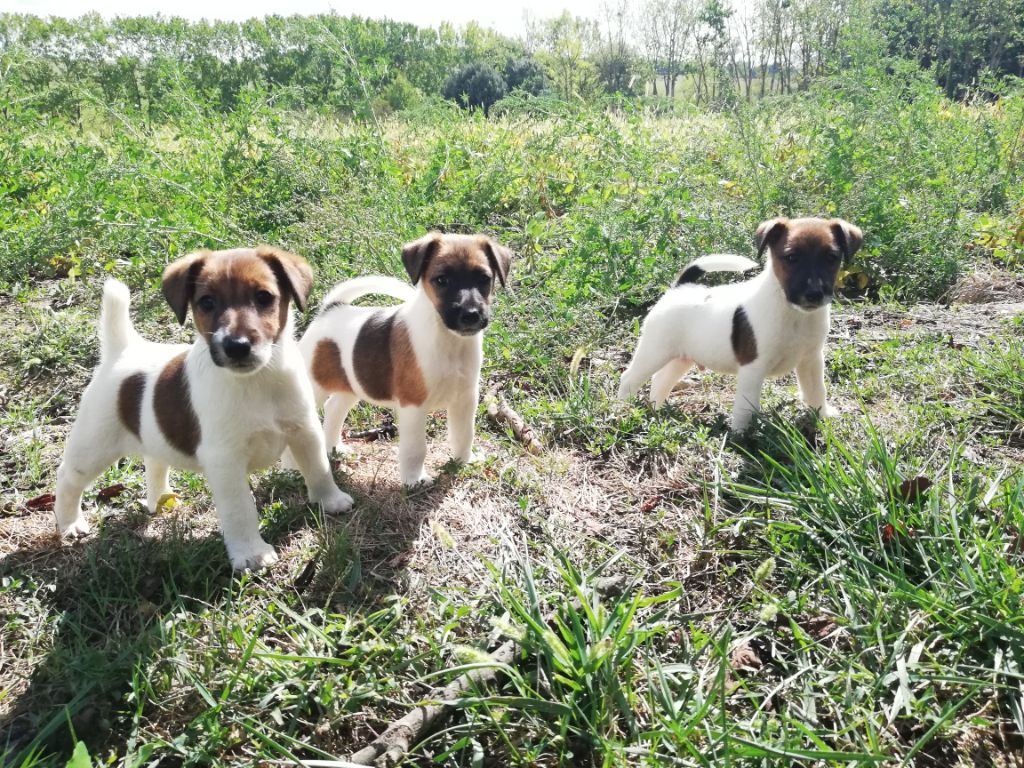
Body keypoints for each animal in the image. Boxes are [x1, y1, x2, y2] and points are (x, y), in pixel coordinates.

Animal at [54, 246, 354, 573]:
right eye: (207, 302)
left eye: (264, 297)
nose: (237, 346)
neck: (256, 381)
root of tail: (122, 350)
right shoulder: (226, 461)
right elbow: (240, 509)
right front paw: (251, 553)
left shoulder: (304, 431)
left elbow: (319, 469)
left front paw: (331, 501)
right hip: (94, 447)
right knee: (68, 478)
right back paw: (69, 523)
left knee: (154, 461)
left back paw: (160, 499)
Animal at [286, 231, 512, 489]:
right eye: (442, 280)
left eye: (484, 279)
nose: (471, 315)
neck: (446, 339)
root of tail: (330, 309)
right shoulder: (414, 405)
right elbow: (416, 448)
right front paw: (414, 480)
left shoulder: (464, 399)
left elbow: (464, 435)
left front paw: (464, 461)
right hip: (312, 389)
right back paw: (289, 470)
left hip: (352, 386)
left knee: (333, 408)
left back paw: (334, 449)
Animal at [614, 218, 864, 434]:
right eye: (791, 257)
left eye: (831, 258)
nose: (814, 294)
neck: (793, 313)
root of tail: (679, 289)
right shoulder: (753, 368)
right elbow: (746, 406)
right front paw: (741, 437)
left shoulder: (811, 360)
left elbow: (816, 390)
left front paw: (822, 415)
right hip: (654, 352)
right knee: (629, 378)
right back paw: (622, 409)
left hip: (681, 358)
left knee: (660, 381)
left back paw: (655, 410)